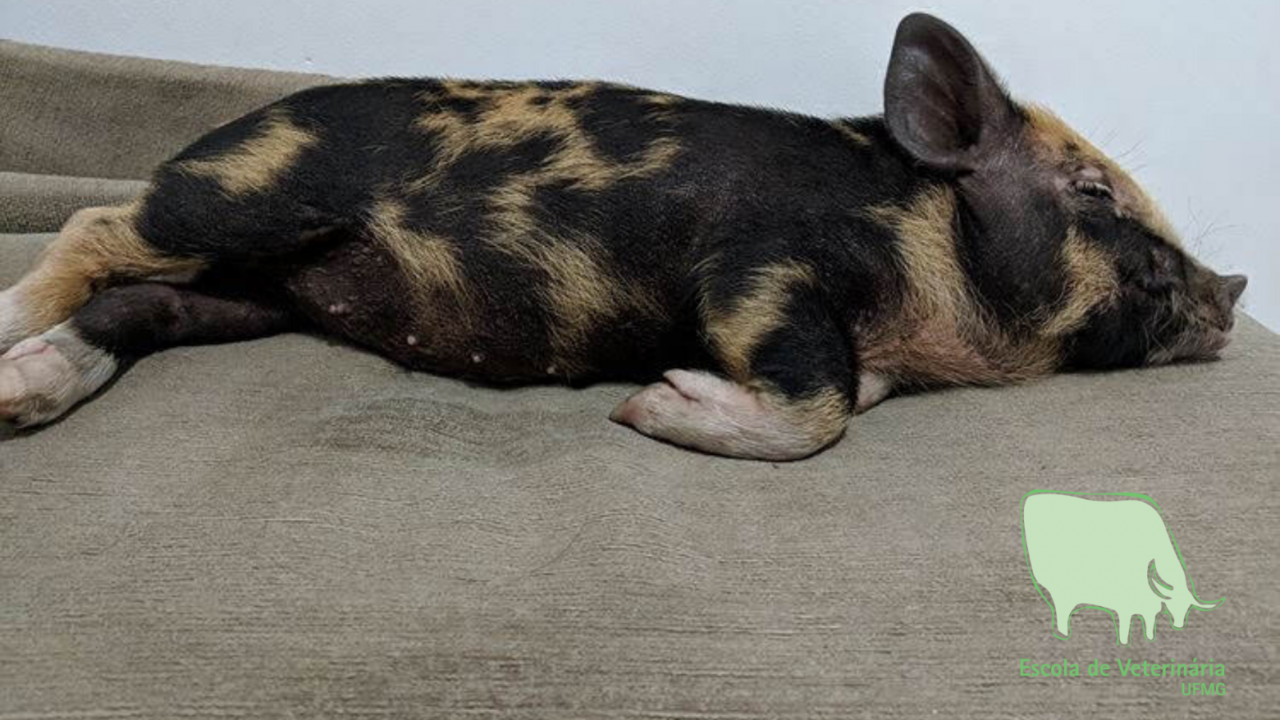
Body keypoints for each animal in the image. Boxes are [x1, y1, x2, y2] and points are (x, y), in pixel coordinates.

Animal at [0, 14, 1248, 460]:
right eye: (1091, 191)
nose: (1234, 287)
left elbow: (850, 396)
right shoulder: (758, 267)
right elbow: (819, 407)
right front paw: (649, 406)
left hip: (262, 289)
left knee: (138, 303)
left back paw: (27, 390)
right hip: (242, 199)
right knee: (97, 224)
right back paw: (9, 323)